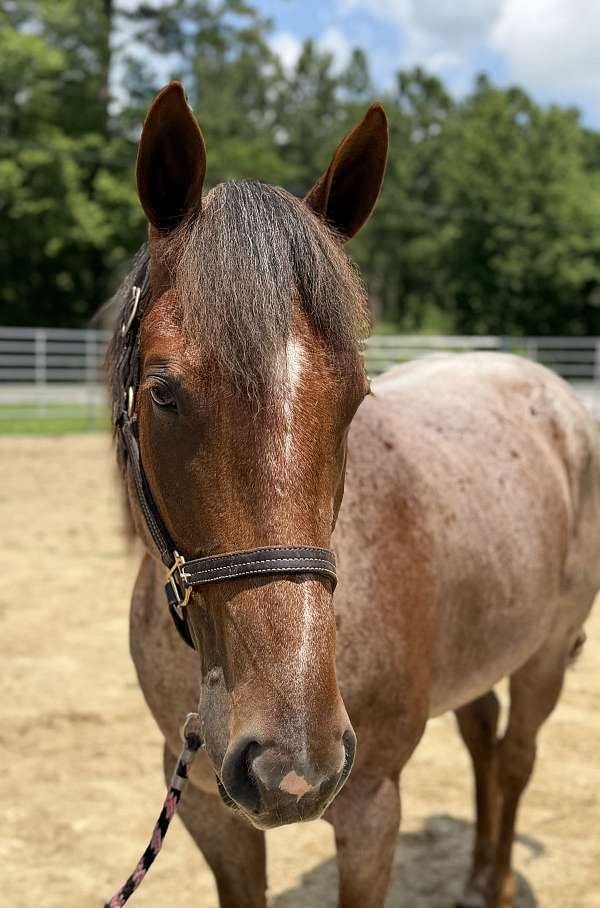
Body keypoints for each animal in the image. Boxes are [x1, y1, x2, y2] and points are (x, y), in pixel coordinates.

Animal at [107, 81, 600, 908]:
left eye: (356, 397)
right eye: (164, 392)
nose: (291, 759)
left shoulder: (371, 809)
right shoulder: (210, 812)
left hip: (545, 657)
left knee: (515, 757)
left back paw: (495, 881)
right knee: (484, 741)